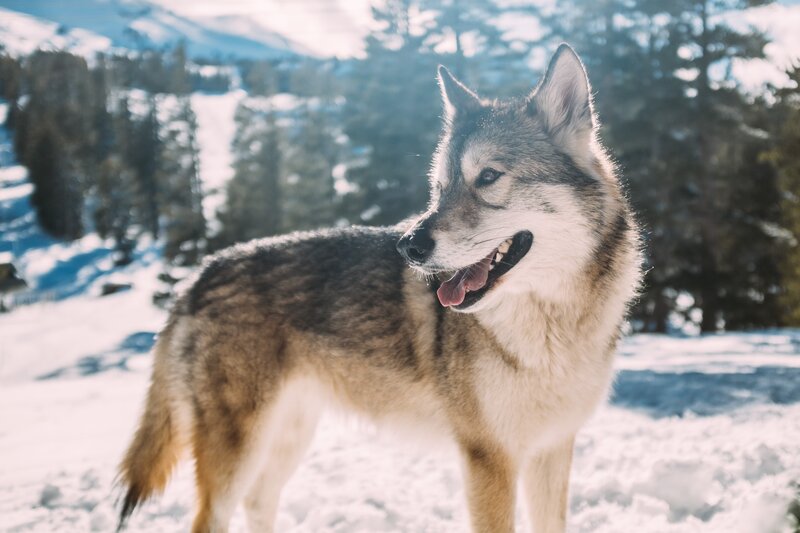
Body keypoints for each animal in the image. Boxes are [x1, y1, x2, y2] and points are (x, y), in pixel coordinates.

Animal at [117, 44, 641, 533]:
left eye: (488, 177)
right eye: (440, 187)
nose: (410, 244)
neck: (554, 327)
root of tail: (199, 274)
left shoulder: (553, 449)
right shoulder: (488, 458)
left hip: (288, 437)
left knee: (259, 502)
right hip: (240, 450)